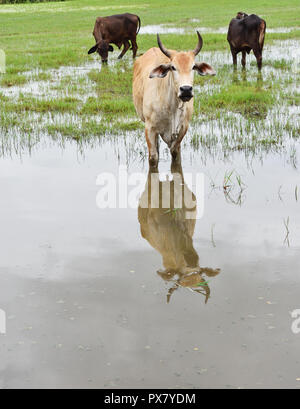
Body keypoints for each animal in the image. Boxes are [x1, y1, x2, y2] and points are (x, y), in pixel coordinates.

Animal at [132, 31, 214, 167]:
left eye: (193, 67)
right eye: (173, 67)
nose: (186, 89)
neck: (171, 106)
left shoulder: (183, 128)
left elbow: (175, 153)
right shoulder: (149, 128)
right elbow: (153, 158)